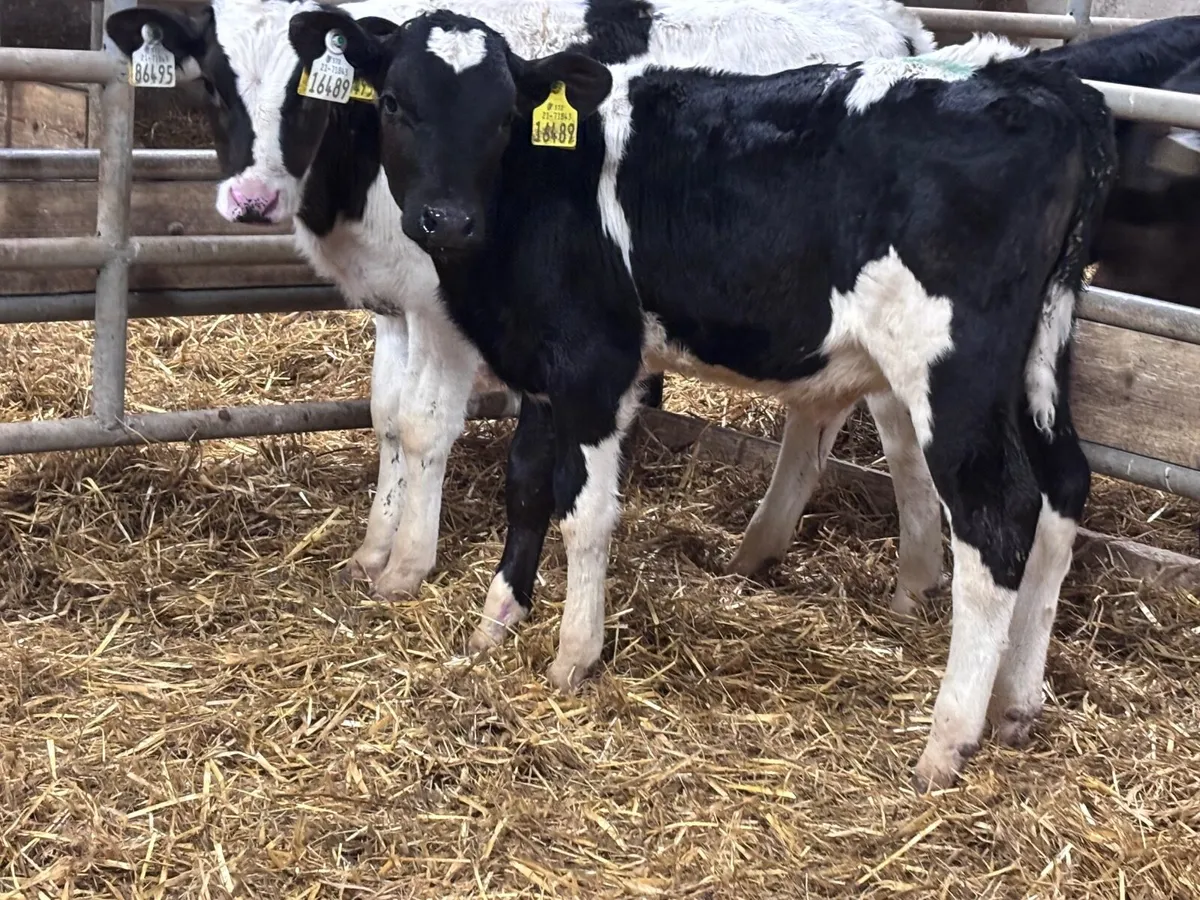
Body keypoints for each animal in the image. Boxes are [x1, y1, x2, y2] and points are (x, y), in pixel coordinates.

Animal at [104, 0, 942, 606]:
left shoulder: (445, 309)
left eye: (306, 95)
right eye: (213, 85)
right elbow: (387, 417)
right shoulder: (394, 304)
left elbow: (425, 427)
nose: (253, 198)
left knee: (901, 434)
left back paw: (914, 578)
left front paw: (407, 563)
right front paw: (373, 548)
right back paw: (761, 548)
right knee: (820, 413)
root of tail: (897, 25)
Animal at [284, 8, 1117, 790]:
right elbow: (525, 488)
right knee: (1062, 490)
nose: (446, 220)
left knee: (996, 517)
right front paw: (498, 618)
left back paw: (947, 741)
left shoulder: (593, 363)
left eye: (500, 115)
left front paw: (573, 654)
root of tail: (1041, 87)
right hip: (1041, 357)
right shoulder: (544, 365)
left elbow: (585, 512)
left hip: (955, 370)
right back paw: (1017, 700)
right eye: (395, 103)